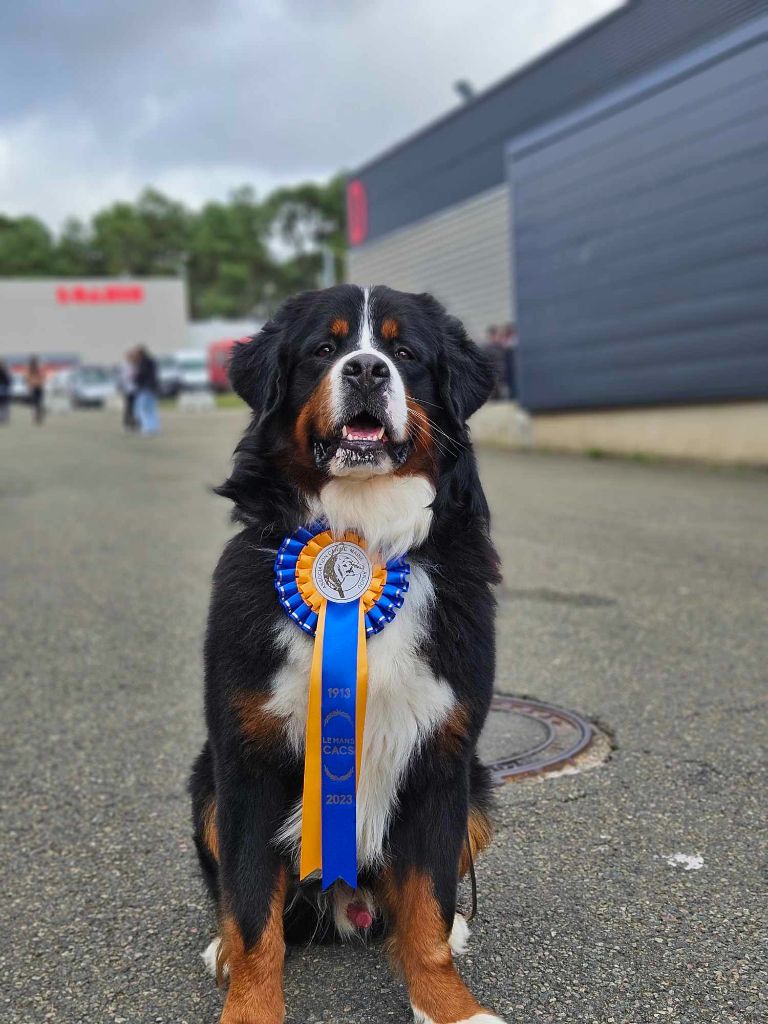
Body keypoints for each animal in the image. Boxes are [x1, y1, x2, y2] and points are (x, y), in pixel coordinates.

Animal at [191, 282, 505, 1024]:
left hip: (478, 794)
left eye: (405, 352)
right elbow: (253, 913)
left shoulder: (443, 758)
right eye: (324, 349)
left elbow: (426, 910)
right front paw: (250, 1005)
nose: (366, 370)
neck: (363, 535)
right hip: (204, 784)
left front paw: (451, 1006)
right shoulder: (245, 761)